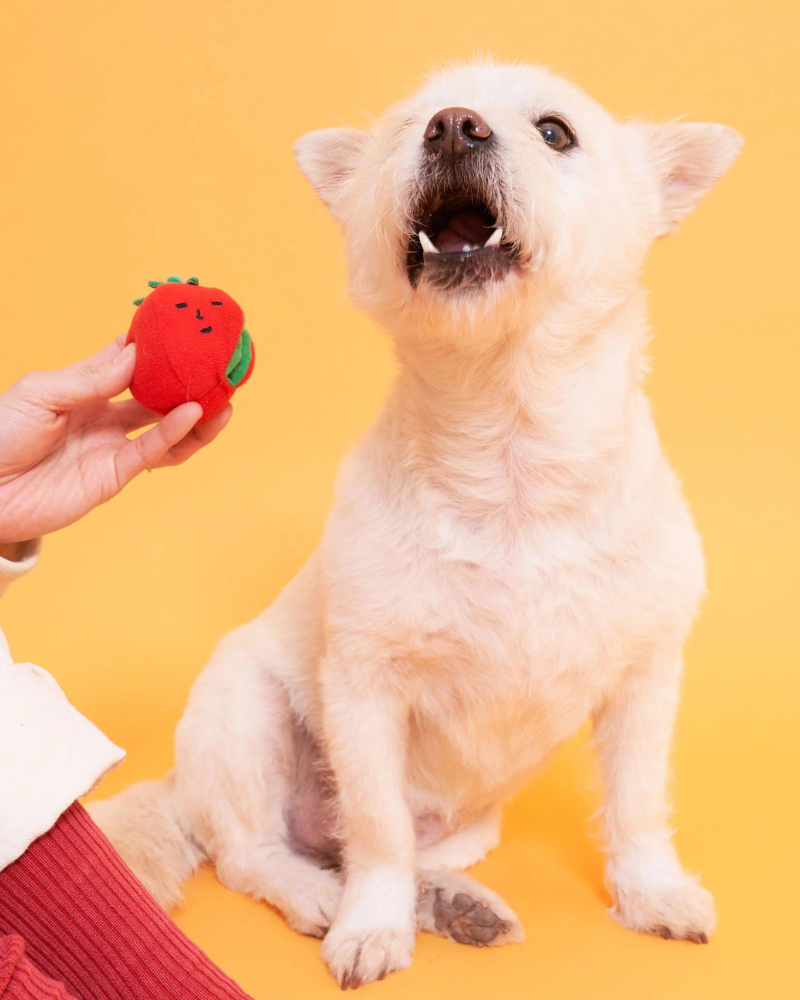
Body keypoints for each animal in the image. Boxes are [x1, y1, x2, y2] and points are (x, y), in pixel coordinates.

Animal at [92, 60, 744, 984]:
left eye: (556, 132)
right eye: (412, 125)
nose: (454, 126)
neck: (508, 453)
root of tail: (182, 790)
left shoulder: (646, 680)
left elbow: (638, 803)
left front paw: (651, 891)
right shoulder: (366, 691)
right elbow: (376, 832)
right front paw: (370, 925)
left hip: (469, 824)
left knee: (401, 850)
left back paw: (453, 904)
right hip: (244, 712)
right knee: (258, 853)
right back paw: (321, 897)